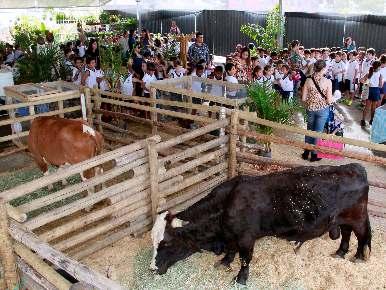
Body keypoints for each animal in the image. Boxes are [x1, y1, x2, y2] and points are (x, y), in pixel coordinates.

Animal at [150, 164, 370, 284]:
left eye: (167, 243)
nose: (152, 268)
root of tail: (354, 167)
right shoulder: (231, 235)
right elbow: (232, 251)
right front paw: (224, 262)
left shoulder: (246, 238)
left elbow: (245, 259)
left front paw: (240, 279)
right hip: (343, 219)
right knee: (346, 233)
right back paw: (340, 252)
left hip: (357, 219)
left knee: (362, 236)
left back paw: (358, 256)